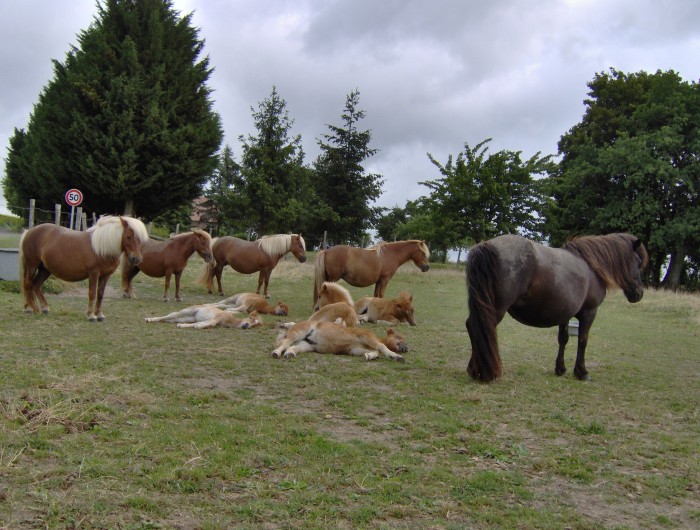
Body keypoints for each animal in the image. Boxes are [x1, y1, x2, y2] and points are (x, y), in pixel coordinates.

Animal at [19, 213, 148, 320]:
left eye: (140, 239)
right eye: (129, 236)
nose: (137, 259)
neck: (102, 248)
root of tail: (29, 232)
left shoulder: (105, 275)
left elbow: (100, 294)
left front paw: (99, 315)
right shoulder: (94, 274)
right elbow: (92, 293)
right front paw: (91, 316)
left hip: (45, 269)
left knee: (36, 285)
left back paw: (44, 308)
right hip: (32, 266)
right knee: (28, 284)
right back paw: (29, 308)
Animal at [272, 318, 408, 358]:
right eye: (398, 336)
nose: (406, 347)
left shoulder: (355, 349)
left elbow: (376, 351)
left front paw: (369, 356)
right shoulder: (366, 336)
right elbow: (381, 346)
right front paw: (396, 356)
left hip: (305, 345)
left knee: (293, 347)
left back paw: (290, 354)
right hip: (298, 333)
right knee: (285, 343)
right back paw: (276, 353)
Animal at [464, 231, 652, 380]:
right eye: (638, 261)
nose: (639, 293)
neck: (592, 267)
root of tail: (487, 245)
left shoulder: (565, 313)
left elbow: (563, 339)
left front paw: (560, 369)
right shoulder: (589, 312)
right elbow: (583, 340)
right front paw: (582, 372)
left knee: (473, 327)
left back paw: (474, 370)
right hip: (495, 309)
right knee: (481, 327)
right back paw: (484, 372)